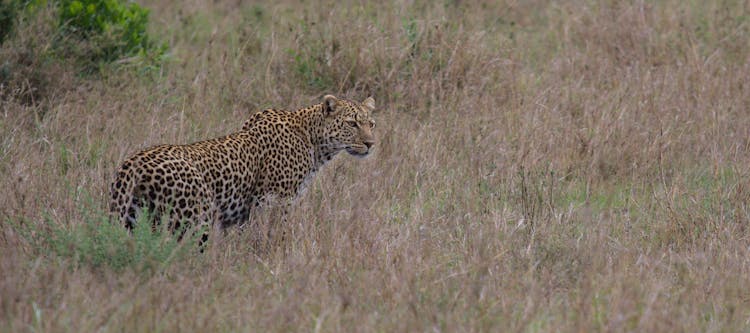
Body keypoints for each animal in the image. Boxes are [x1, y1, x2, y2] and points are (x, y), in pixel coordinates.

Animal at [108, 94, 378, 241]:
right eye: (352, 123)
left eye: (371, 124)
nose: (370, 144)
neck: (314, 141)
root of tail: (133, 161)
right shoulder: (274, 202)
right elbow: (273, 235)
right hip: (194, 218)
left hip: (136, 216)